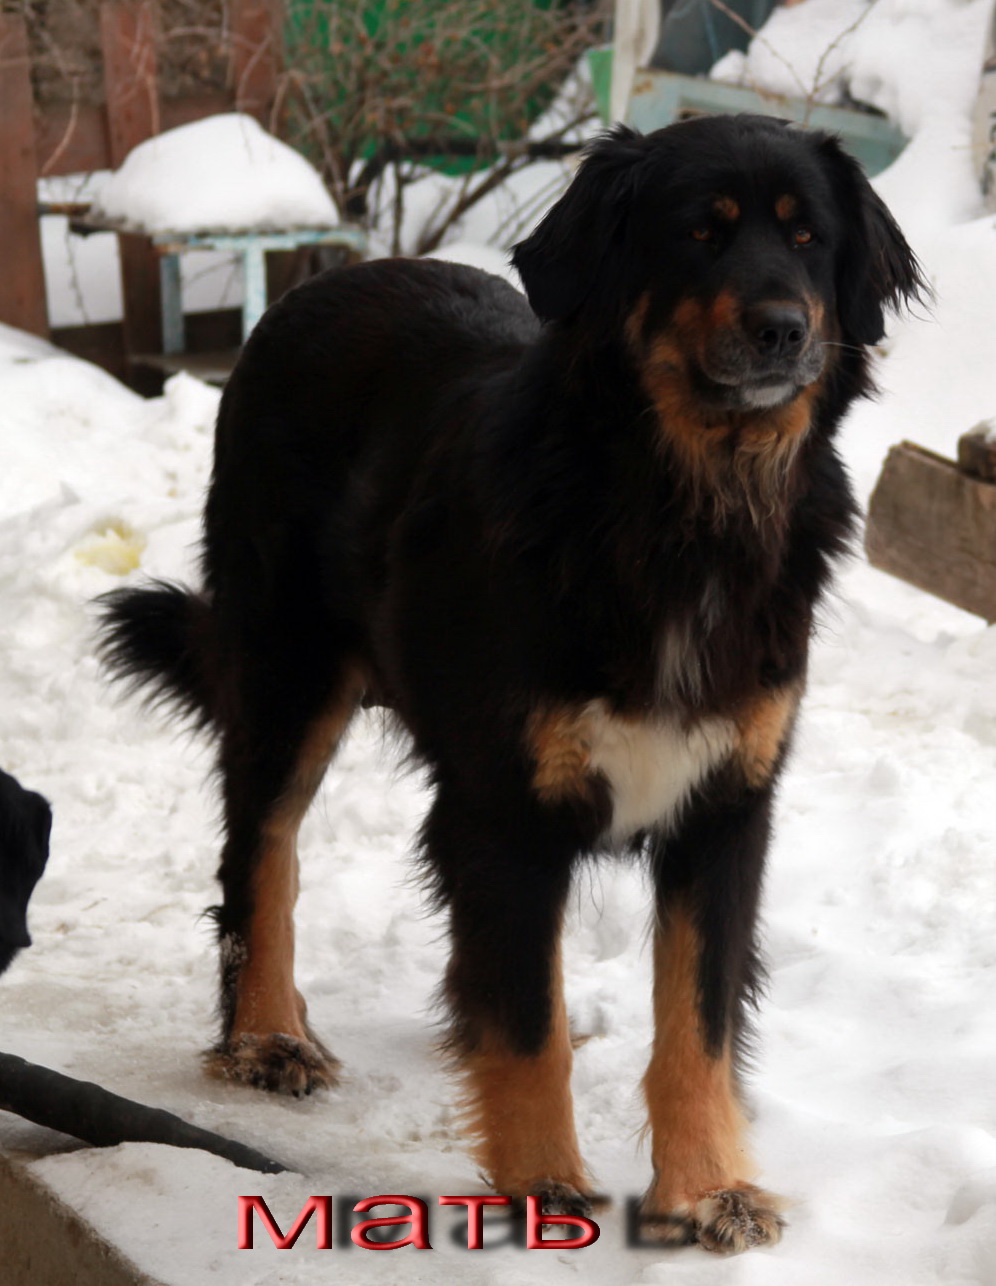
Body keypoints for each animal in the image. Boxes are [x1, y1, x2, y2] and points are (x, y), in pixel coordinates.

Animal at [101, 115, 926, 1249]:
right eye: (698, 233)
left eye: (808, 237)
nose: (783, 329)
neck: (683, 504)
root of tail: (316, 290)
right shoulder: (502, 809)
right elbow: (530, 1024)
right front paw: (545, 1187)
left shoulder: (726, 807)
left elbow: (698, 1021)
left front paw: (706, 1187)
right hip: (285, 673)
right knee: (260, 860)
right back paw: (267, 1034)